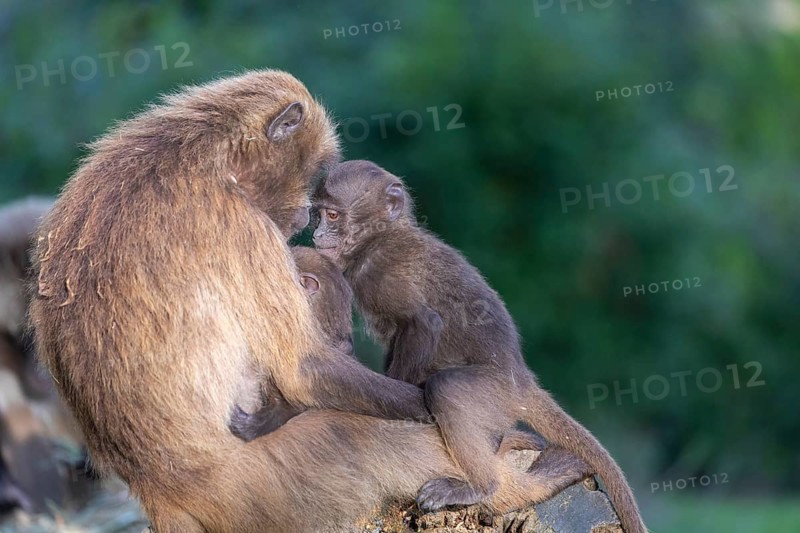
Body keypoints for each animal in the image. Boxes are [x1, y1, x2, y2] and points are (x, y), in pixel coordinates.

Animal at [27, 71, 586, 533]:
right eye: (311, 179)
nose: (304, 221)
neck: (199, 157)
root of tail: (156, 489)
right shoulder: (242, 225)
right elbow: (305, 370)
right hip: (280, 478)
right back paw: (509, 484)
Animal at [310, 160, 647, 533]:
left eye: (333, 216)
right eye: (318, 214)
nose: (316, 235)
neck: (380, 238)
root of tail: (521, 382)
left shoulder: (383, 273)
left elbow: (424, 324)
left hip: (493, 394)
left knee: (448, 389)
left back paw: (480, 486)